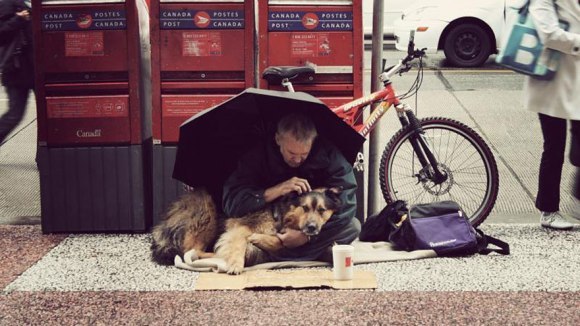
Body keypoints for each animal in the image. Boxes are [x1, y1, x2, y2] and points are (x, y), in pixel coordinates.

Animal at [150, 187, 342, 274]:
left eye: (322, 210)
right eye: (305, 207)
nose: (312, 228)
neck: (281, 213)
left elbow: (280, 242)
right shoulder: (239, 228)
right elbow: (239, 244)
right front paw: (235, 263)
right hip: (206, 212)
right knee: (190, 251)